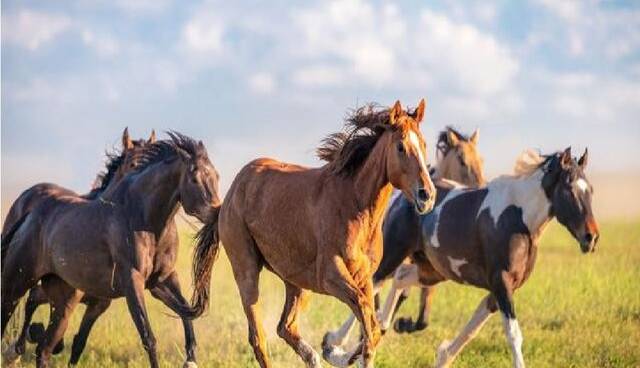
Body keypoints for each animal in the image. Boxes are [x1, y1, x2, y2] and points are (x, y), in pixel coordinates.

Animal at [190, 100, 438, 368]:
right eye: (401, 146)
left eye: (424, 144)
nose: (427, 195)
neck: (354, 206)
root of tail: (229, 197)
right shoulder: (331, 276)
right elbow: (367, 320)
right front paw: (340, 351)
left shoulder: (365, 278)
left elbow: (372, 327)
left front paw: (339, 352)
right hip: (247, 271)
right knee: (259, 338)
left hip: (296, 282)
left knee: (285, 327)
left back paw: (316, 357)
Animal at [324, 126, 484, 348]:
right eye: (462, 160)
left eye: (480, 159)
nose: (482, 186)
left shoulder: (425, 269)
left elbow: (421, 316)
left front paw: (402, 323)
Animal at [380, 147, 600, 368]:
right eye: (569, 190)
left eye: (590, 190)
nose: (591, 237)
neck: (519, 219)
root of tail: (402, 197)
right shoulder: (501, 282)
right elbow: (513, 334)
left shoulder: (501, 289)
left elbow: (471, 330)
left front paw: (442, 355)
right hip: (394, 255)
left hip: (433, 271)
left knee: (400, 278)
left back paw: (384, 323)